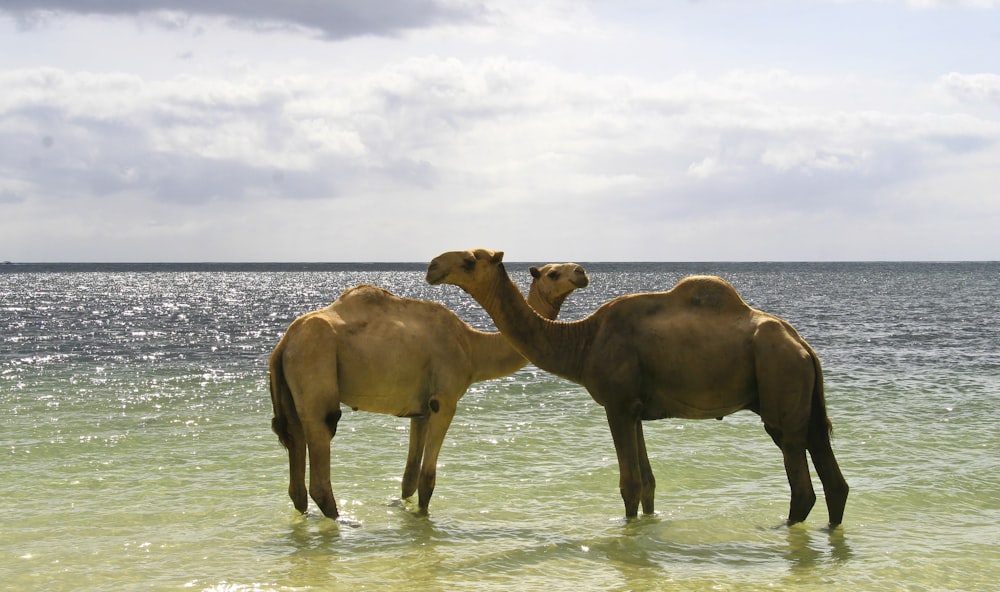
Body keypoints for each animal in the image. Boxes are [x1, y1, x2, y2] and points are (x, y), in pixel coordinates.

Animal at [270, 264, 588, 520]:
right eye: (553, 273)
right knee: (322, 442)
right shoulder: (443, 401)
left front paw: (404, 509)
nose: (581, 272)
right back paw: (345, 521)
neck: (473, 347)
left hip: (290, 390)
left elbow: (409, 478)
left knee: (296, 461)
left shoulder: (419, 410)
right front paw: (422, 518)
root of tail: (283, 343)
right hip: (315, 363)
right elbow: (427, 478)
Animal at [426, 247, 848, 524]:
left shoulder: (618, 403)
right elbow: (648, 482)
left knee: (801, 480)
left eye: (468, 260)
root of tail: (804, 346)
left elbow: (629, 483)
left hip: (780, 378)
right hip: (805, 396)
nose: (431, 267)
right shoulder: (637, 410)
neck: (583, 341)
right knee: (831, 471)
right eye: (550, 271)